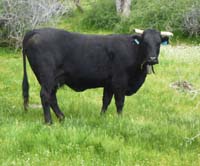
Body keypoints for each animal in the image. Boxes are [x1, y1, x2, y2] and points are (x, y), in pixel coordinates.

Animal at [22, 27, 172, 122]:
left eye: (158, 43)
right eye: (145, 42)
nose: (152, 59)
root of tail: (35, 31)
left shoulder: (109, 84)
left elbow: (106, 101)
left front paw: (102, 117)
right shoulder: (120, 82)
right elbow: (119, 102)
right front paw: (120, 119)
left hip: (54, 80)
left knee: (52, 97)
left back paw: (62, 118)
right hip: (47, 77)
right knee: (45, 96)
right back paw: (49, 121)